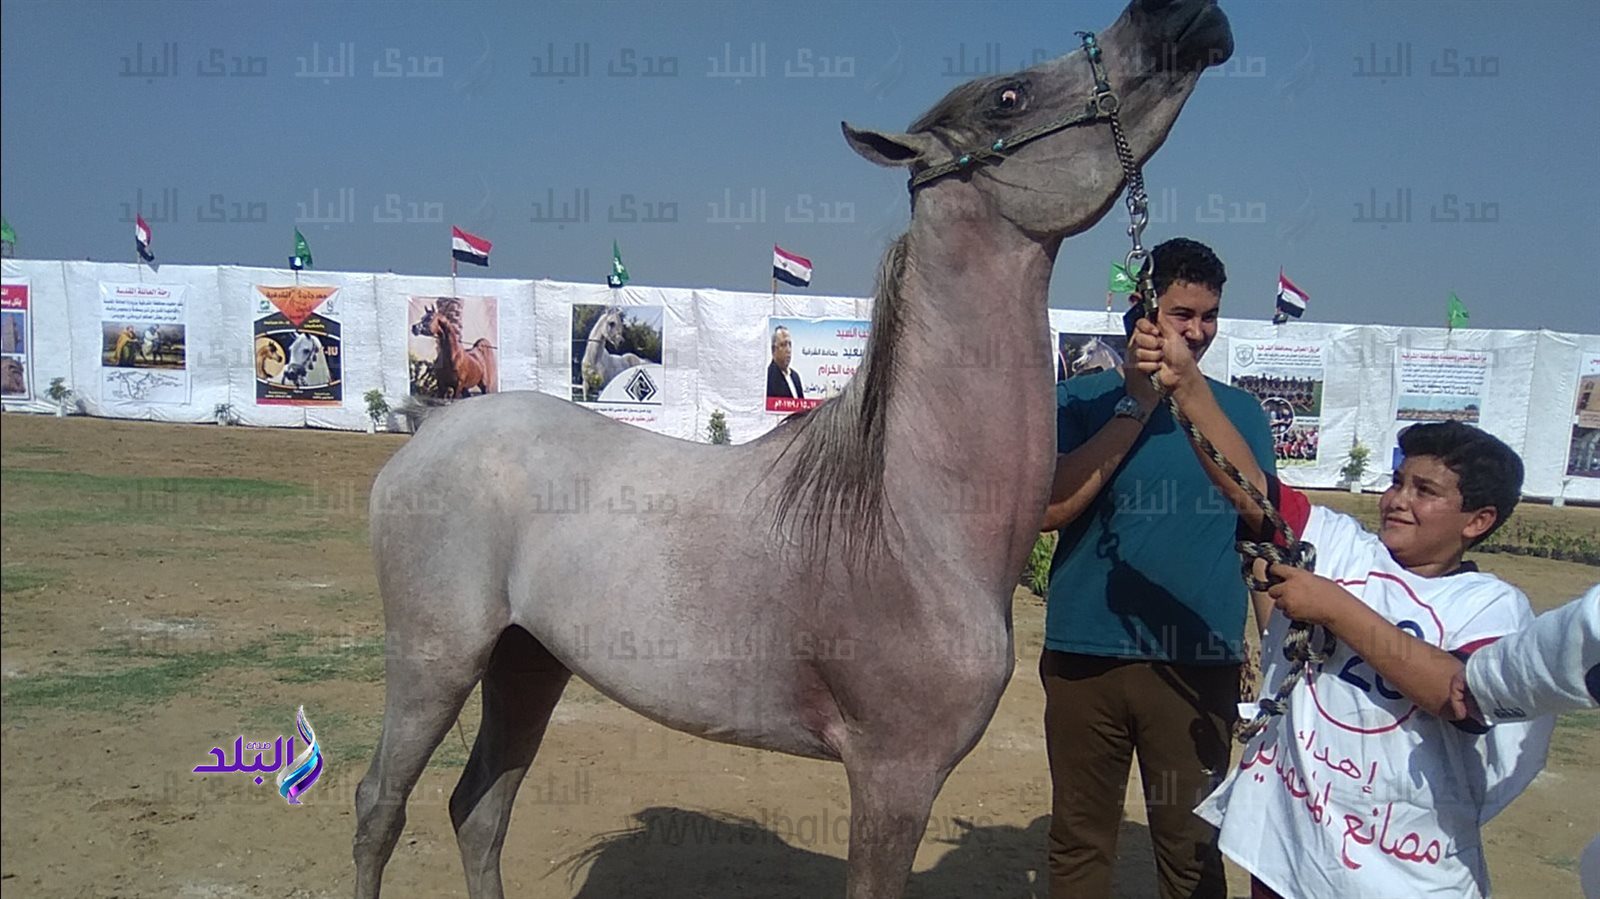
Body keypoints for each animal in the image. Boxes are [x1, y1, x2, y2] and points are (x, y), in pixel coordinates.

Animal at [356, 3, 1235, 889]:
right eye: (1008, 98)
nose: (1179, 17)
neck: (913, 525)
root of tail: (431, 431)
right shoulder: (892, 776)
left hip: (527, 663)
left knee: (479, 811)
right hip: (435, 663)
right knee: (379, 807)